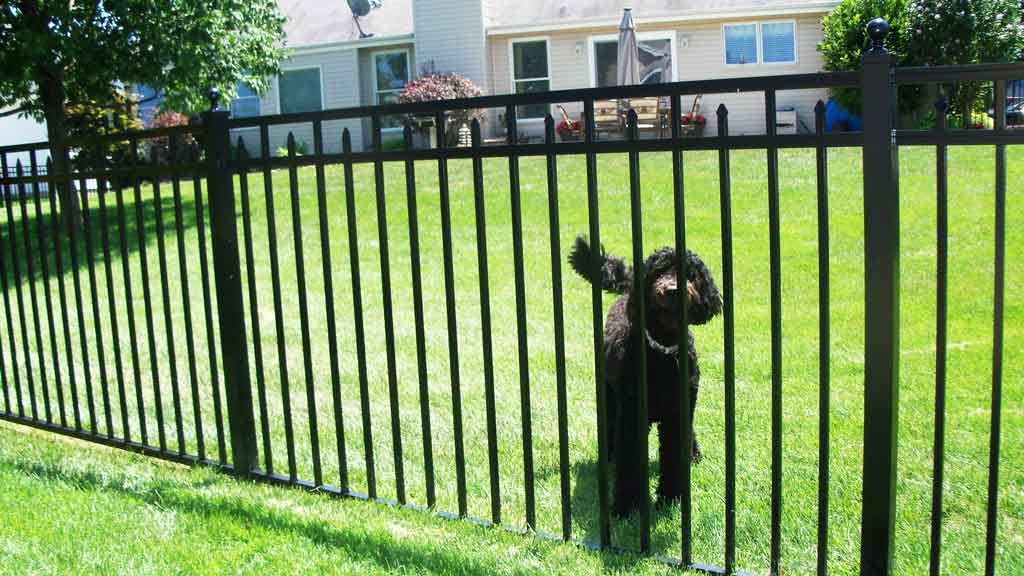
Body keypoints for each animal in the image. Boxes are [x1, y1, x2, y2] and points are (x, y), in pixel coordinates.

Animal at [569, 235, 720, 512]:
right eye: (659, 271)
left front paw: (671, 497)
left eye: (692, 275)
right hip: (610, 395)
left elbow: (674, 455)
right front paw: (626, 504)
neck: (661, 352)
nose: (672, 290)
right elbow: (629, 460)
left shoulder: (678, 412)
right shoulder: (631, 415)